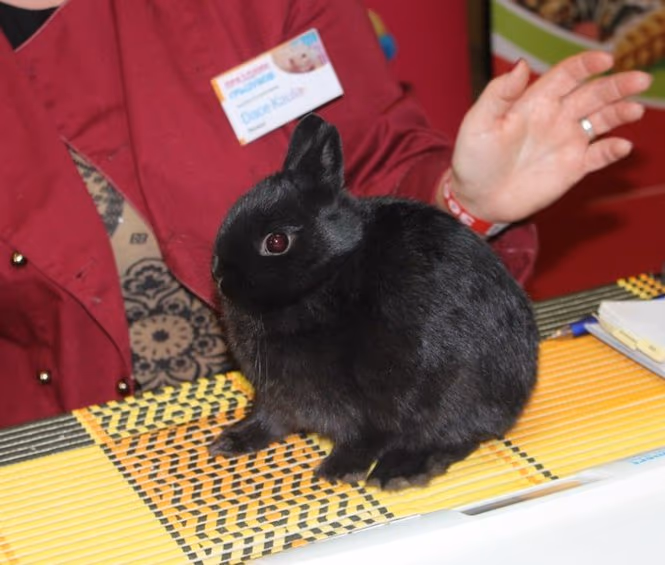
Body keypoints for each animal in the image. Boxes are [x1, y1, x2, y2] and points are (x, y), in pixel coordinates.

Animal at [209, 113, 539, 491]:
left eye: (276, 242)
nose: (219, 274)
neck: (326, 277)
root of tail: (523, 383)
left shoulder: (378, 399)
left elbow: (365, 436)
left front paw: (339, 470)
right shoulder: (276, 395)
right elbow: (267, 420)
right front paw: (231, 441)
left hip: (454, 393)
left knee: (455, 437)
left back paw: (399, 472)